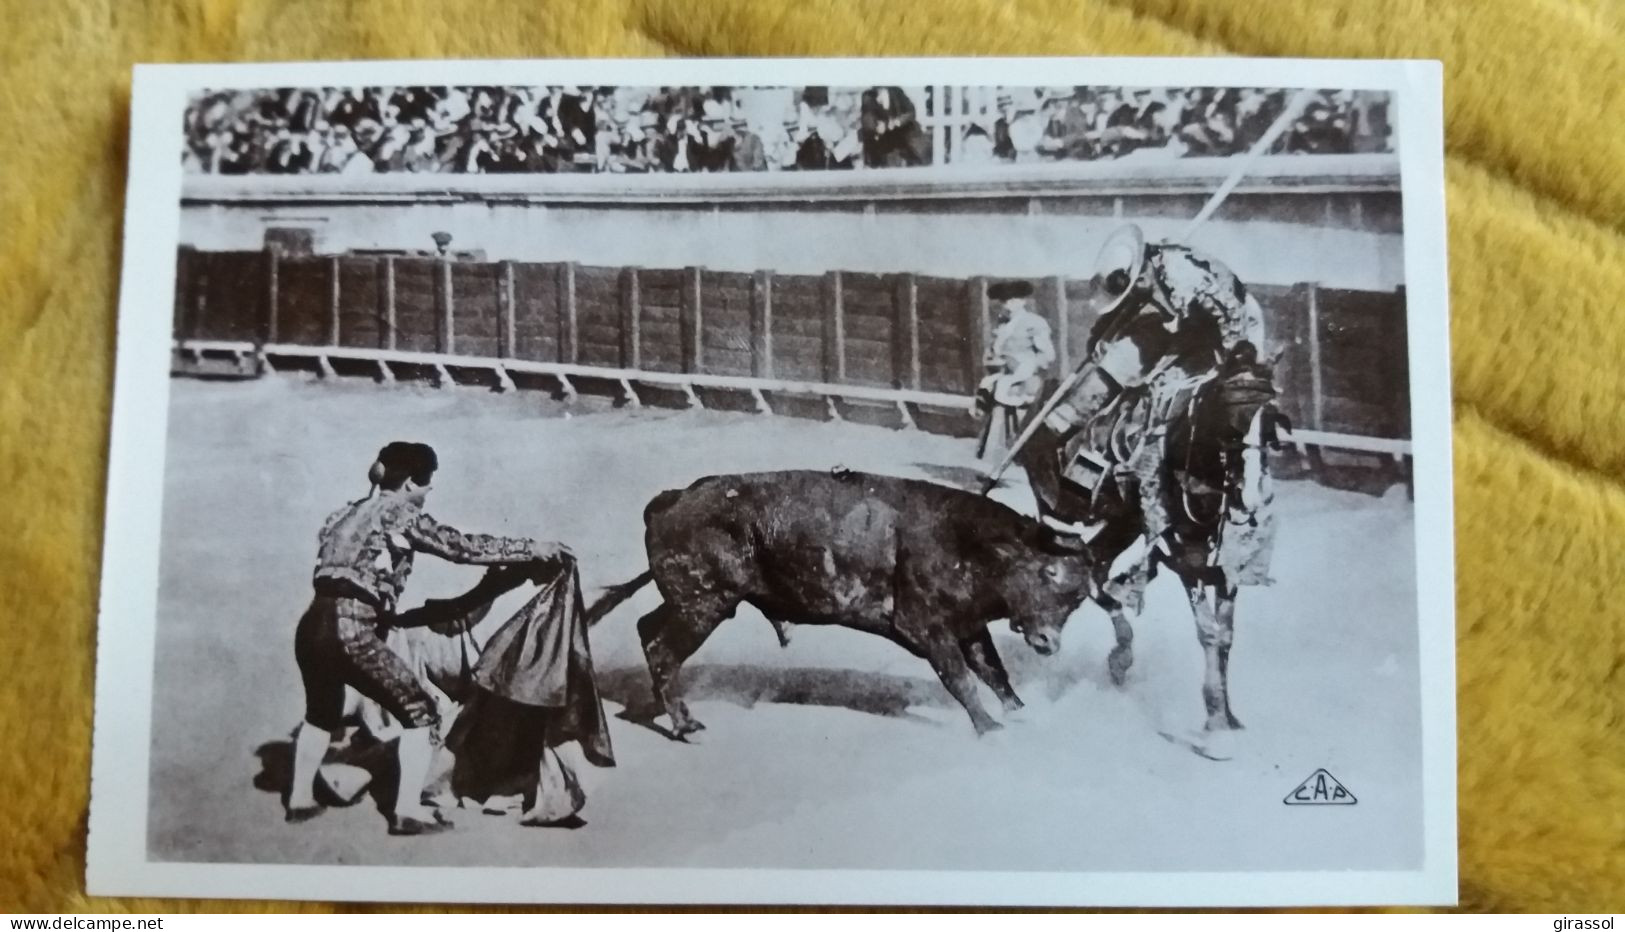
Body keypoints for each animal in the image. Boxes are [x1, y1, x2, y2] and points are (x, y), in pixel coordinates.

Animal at [591, 470, 1098, 740]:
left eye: (1079, 597)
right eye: (1049, 573)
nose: (1048, 641)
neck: (967, 541)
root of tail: (672, 498)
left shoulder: (969, 624)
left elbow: (992, 670)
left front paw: (1019, 712)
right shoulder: (925, 626)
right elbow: (961, 679)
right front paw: (989, 728)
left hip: (695, 603)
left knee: (647, 630)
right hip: (704, 604)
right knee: (662, 647)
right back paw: (684, 724)